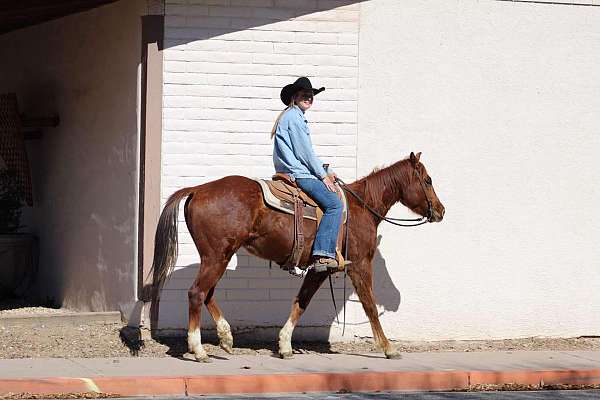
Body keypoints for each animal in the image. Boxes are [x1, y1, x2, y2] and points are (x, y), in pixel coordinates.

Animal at [150, 152, 442, 360]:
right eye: (428, 180)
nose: (441, 210)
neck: (362, 208)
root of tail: (198, 189)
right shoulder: (359, 265)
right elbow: (370, 305)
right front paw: (388, 348)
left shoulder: (320, 269)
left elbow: (302, 302)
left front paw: (285, 345)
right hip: (216, 257)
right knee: (197, 293)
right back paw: (199, 350)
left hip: (217, 256)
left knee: (207, 293)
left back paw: (225, 337)